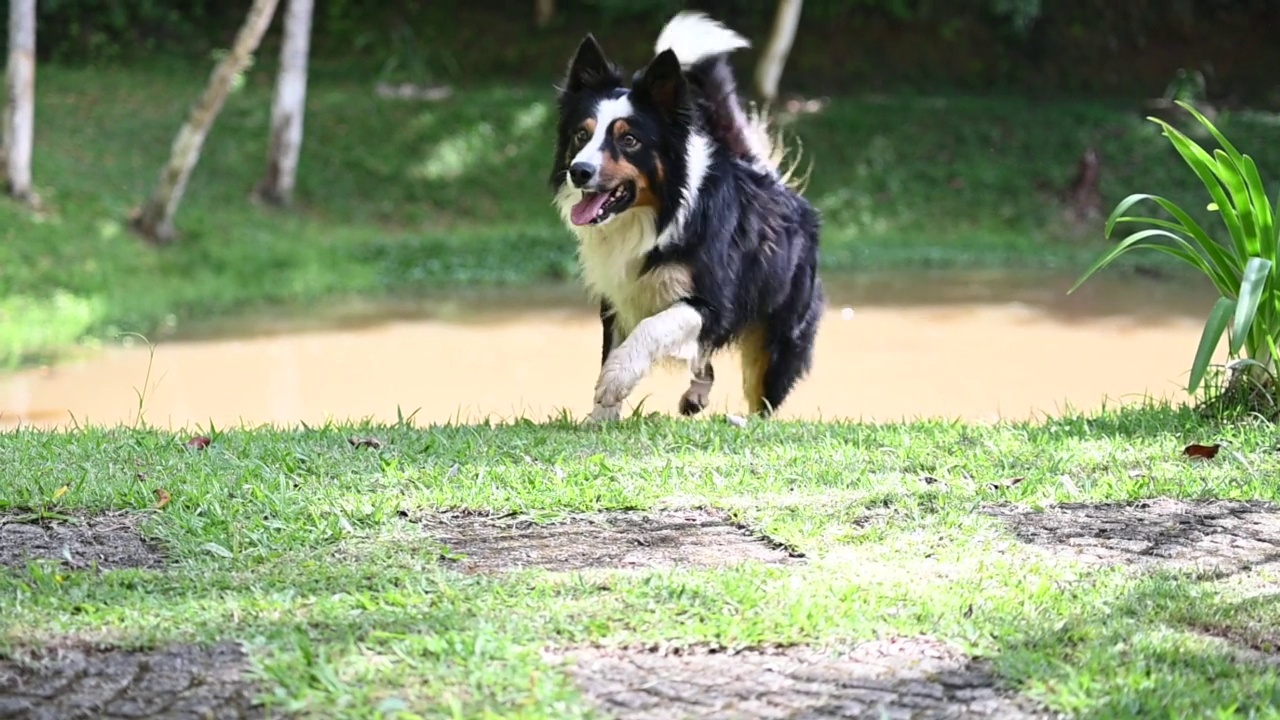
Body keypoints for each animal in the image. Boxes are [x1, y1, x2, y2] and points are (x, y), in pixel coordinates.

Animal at [547, 9, 824, 420]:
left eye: (629, 140)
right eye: (582, 135)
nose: (578, 171)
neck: (655, 215)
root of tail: (769, 178)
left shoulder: (713, 302)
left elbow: (655, 326)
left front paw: (615, 380)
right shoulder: (618, 297)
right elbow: (615, 347)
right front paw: (601, 417)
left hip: (778, 335)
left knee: (762, 391)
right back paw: (696, 396)